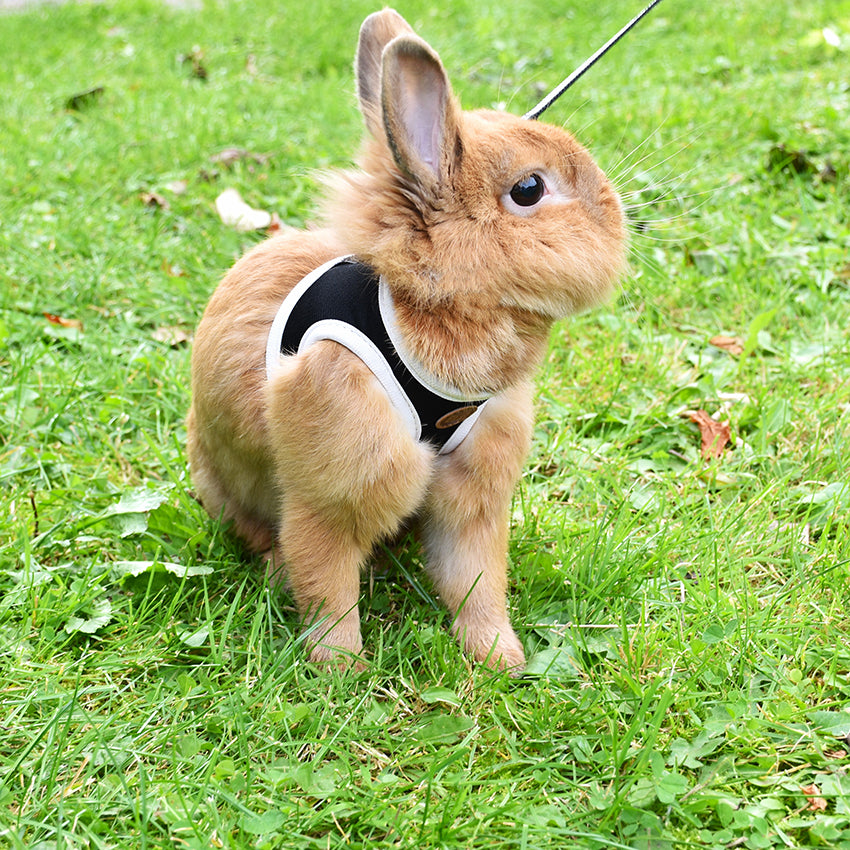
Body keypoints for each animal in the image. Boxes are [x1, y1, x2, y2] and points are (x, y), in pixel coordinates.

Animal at [186, 8, 626, 674]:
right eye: (529, 190)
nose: (617, 215)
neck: (429, 309)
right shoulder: (329, 490)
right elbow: (326, 582)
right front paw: (340, 670)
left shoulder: (473, 494)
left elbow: (475, 580)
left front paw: (498, 656)